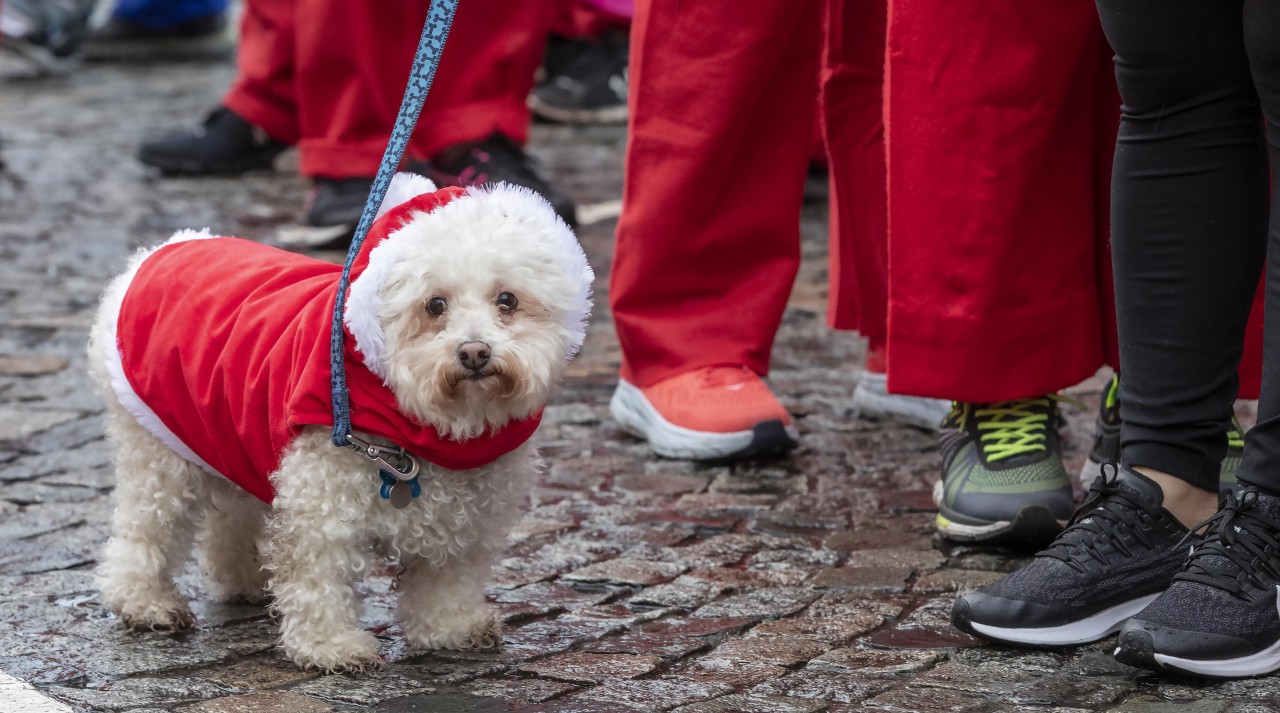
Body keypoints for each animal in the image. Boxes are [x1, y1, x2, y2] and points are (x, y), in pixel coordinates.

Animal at [87, 171, 596, 665]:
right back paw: (144, 602)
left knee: (229, 518)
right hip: (160, 453)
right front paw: (330, 647)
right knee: (144, 529)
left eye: (507, 300)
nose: (474, 352)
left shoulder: (468, 518)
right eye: (435, 305)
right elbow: (318, 579)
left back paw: (243, 580)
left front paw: (448, 628)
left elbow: (448, 579)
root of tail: (160, 251)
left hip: (230, 438)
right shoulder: (321, 508)